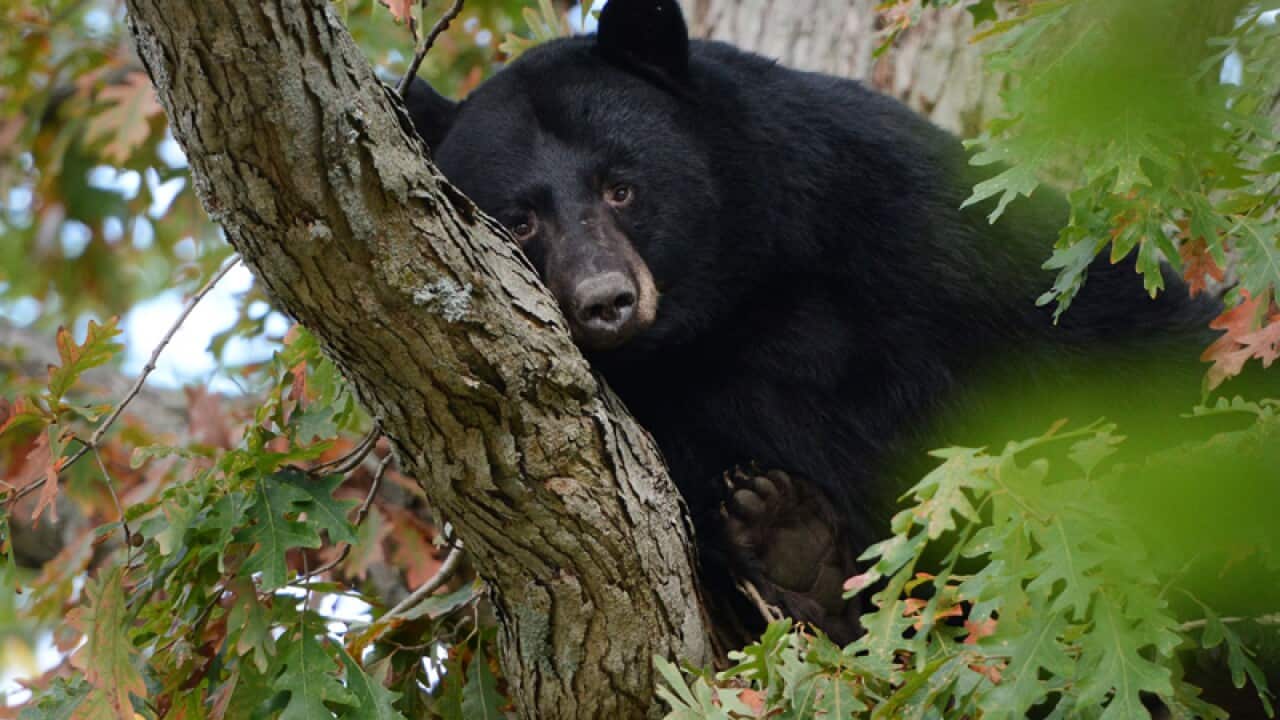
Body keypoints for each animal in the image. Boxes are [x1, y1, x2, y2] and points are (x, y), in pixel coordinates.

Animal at [402, 0, 1229, 644]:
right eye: (519, 220)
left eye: (621, 187)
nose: (605, 301)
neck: (734, 311)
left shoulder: (896, 207)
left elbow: (1098, 321)